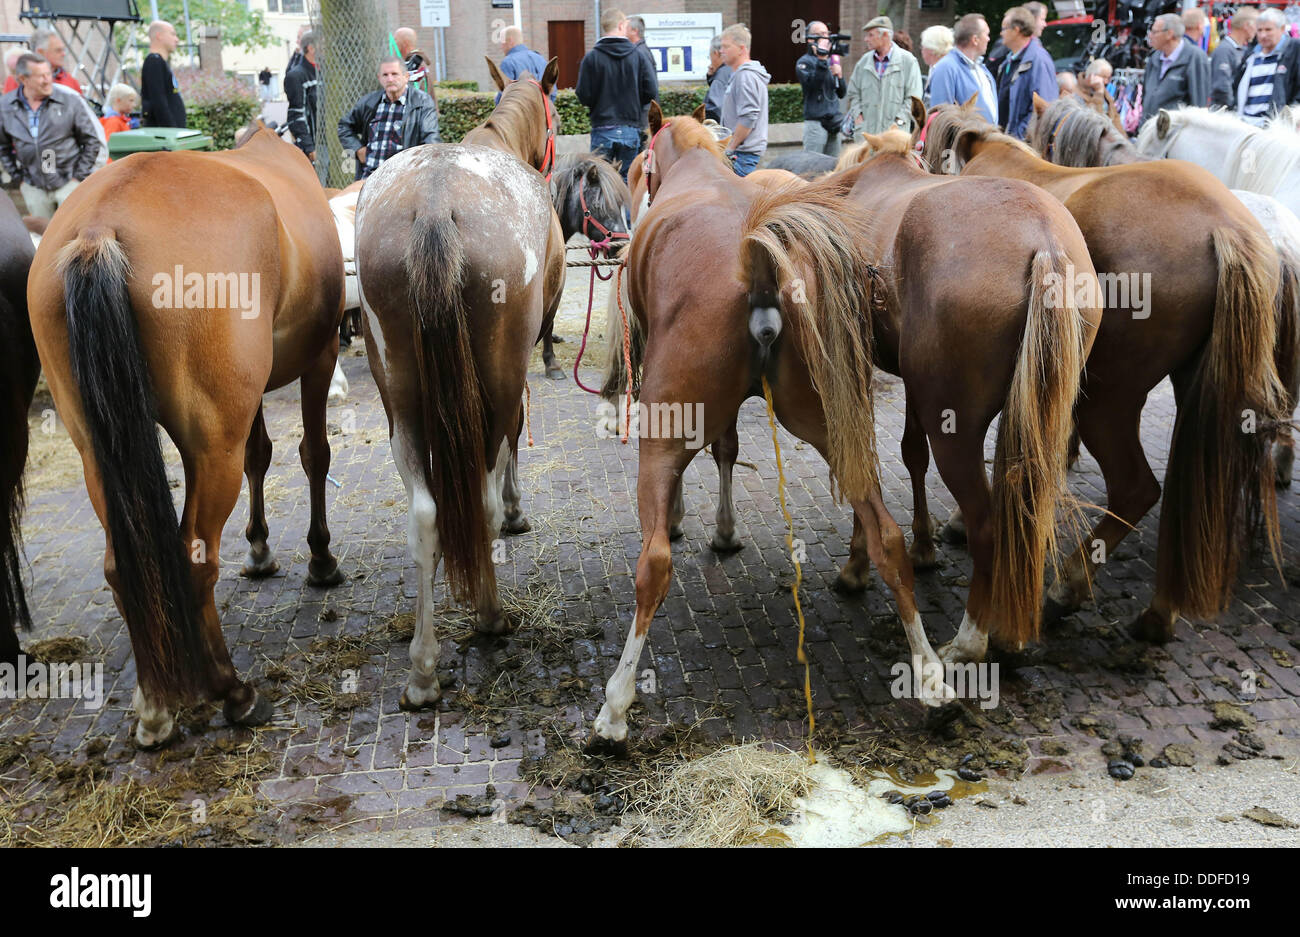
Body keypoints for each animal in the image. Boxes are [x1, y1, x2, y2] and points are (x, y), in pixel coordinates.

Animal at [26, 124, 346, 747]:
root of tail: (100, 225)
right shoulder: (320, 357)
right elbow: (313, 455)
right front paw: (320, 558)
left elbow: (260, 454)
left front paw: (260, 548)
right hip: (211, 443)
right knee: (195, 557)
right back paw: (234, 693)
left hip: (99, 453)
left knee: (121, 566)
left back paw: (155, 703)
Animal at [353, 57, 564, 710]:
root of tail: (433, 204)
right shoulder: (513, 379)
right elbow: (514, 445)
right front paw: (519, 510)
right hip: (496, 377)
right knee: (484, 494)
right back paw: (490, 614)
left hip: (399, 396)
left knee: (425, 514)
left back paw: (422, 672)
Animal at [587, 103, 963, 754]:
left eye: (636, 168)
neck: (696, 170)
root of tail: (759, 262)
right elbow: (728, 449)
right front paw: (724, 529)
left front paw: (692, 520)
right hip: (831, 424)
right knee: (887, 536)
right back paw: (930, 676)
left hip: (666, 432)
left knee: (653, 563)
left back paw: (615, 708)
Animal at [740, 126, 1101, 665]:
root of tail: (1044, 241)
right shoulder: (912, 383)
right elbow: (911, 453)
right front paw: (923, 546)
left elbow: (863, 458)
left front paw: (858, 566)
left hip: (955, 428)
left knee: (988, 525)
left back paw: (971, 640)